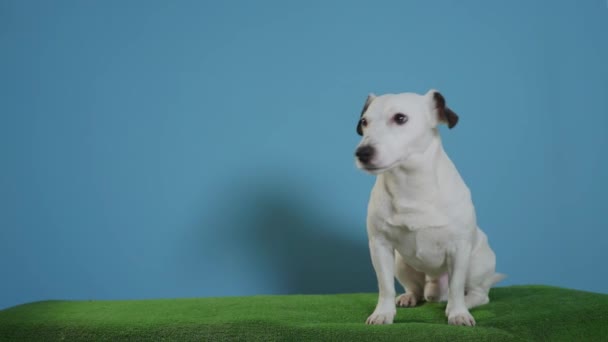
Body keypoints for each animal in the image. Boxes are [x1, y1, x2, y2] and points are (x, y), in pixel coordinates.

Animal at [354, 90, 502, 326]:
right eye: (364, 122)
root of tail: (435, 285)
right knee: (416, 289)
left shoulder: (459, 249)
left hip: (475, 264)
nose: (362, 152)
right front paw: (383, 313)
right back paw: (409, 297)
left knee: (477, 293)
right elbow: (385, 286)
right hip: (401, 263)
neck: (410, 184)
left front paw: (458, 313)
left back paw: (462, 303)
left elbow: (457, 287)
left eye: (400, 118)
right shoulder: (380, 246)